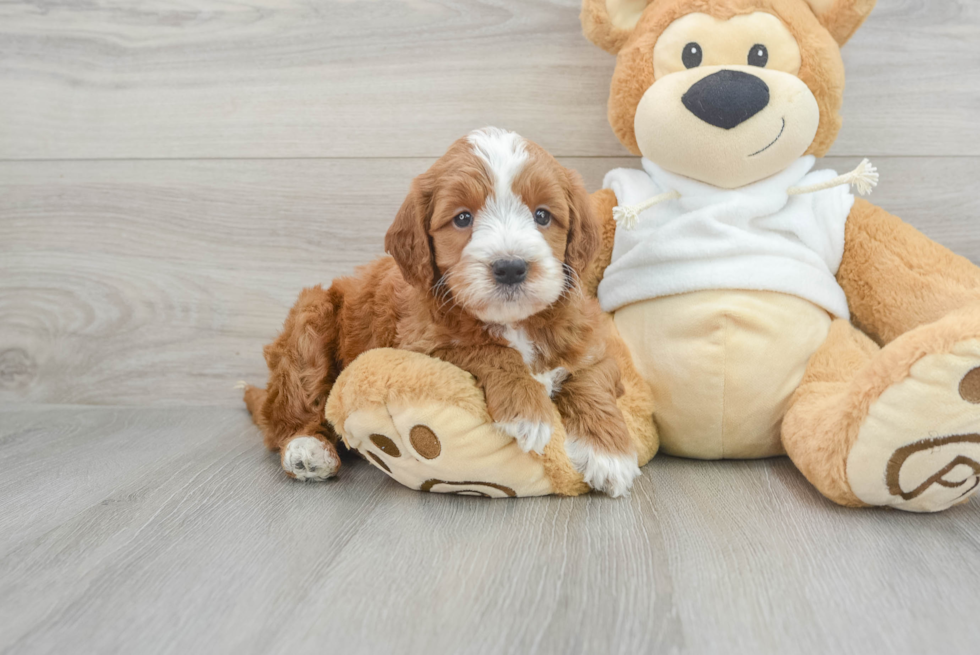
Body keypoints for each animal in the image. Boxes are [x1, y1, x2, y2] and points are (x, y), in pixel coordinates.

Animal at [245, 127, 640, 498]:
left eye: (542, 215)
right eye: (462, 218)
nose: (511, 267)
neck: (512, 321)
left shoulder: (590, 342)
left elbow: (593, 379)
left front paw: (609, 454)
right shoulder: (420, 346)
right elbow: (489, 350)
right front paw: (528, 409)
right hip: (310, 321)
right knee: (283, 420)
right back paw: (308, 449)